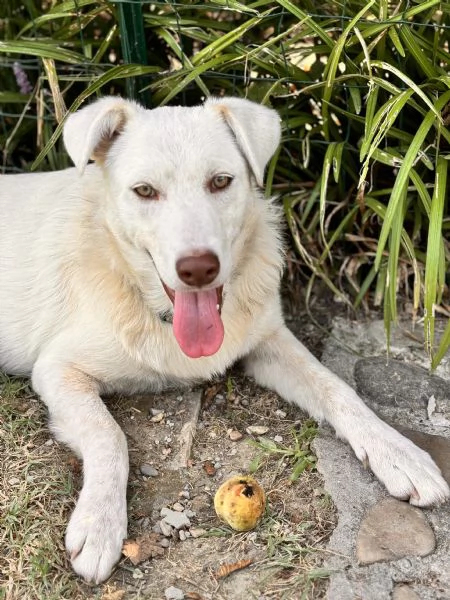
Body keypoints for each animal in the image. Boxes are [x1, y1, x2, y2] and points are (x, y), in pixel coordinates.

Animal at [0, 97, 448, 580]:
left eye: (220, 182)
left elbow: (338, 389)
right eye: (144, 191)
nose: (198, 269)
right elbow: (109, 435)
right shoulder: (58, 369)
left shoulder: (269, 342)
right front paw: (99, 522)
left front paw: (398, 451)